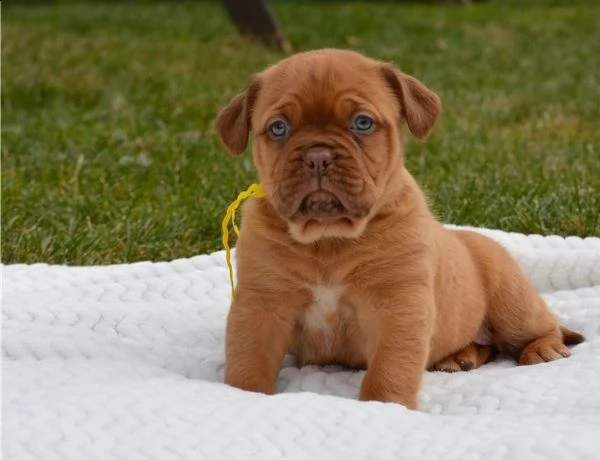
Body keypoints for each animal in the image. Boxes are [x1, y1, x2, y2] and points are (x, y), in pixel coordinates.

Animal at [213, 49, 584, 410]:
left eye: (362, 123)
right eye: (278, 129)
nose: (318, 156)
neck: (329, 237)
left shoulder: (399, 306)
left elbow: (390, 367)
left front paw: (385, 407)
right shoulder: (262, 304)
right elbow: (249, 359)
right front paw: (243, 396)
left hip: (513, 302)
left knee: (535, 328)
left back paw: (543, 348)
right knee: (486, 346)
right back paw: (459, 357)